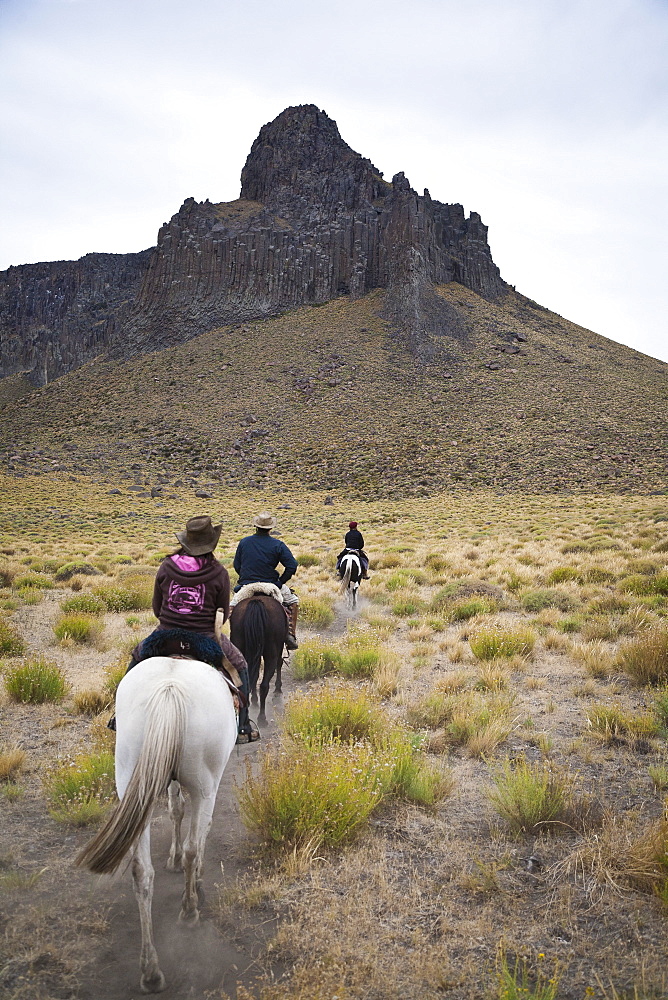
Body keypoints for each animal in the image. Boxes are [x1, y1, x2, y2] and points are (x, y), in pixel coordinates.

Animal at [76, 656, 237, 992]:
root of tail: (169, 690)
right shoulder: (209, 788)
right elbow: (199, 833)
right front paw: (196, 877)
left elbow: (176, 809)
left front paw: (171, 859)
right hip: (204, 785)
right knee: (192, 847)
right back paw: (189, 910)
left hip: (133, 781)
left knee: (141, 871)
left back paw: (150, 970)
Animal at [230, 592, 288, 728]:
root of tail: (256, 603)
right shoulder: (279, 648)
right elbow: (279, 663)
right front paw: (278, 689)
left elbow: (254, 676)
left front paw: (254, 700)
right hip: (271, 654)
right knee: (264, 685)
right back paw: (262, 718)